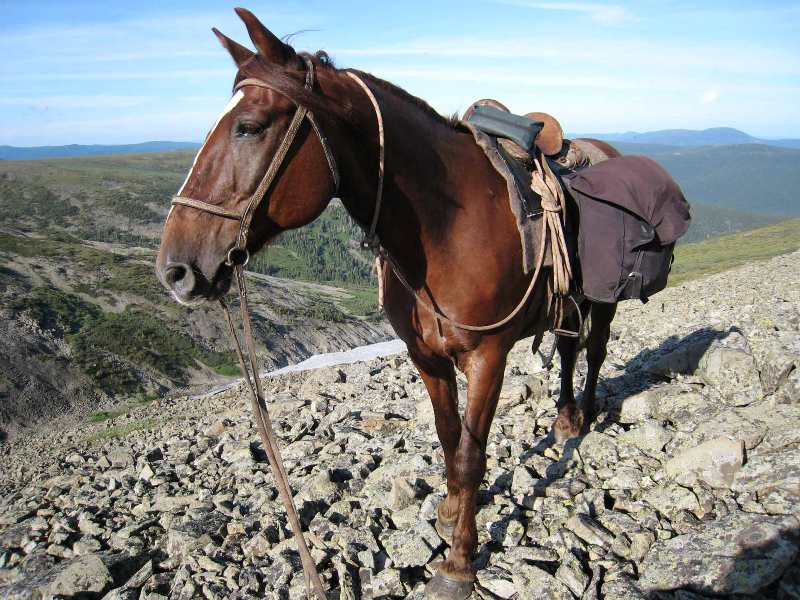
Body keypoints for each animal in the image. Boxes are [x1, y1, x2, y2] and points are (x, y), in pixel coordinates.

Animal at [156, 7, 620, 596]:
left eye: (250, 127)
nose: (174, 270)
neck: (450, 227)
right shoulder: (427, 358)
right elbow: (449, 439)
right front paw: (450, 512)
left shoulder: (488, 355)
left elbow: (471, 456)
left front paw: (459, 563)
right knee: (566, 349)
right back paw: (564, 420)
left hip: (604, 299)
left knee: (594, 351)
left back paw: (584, 417)